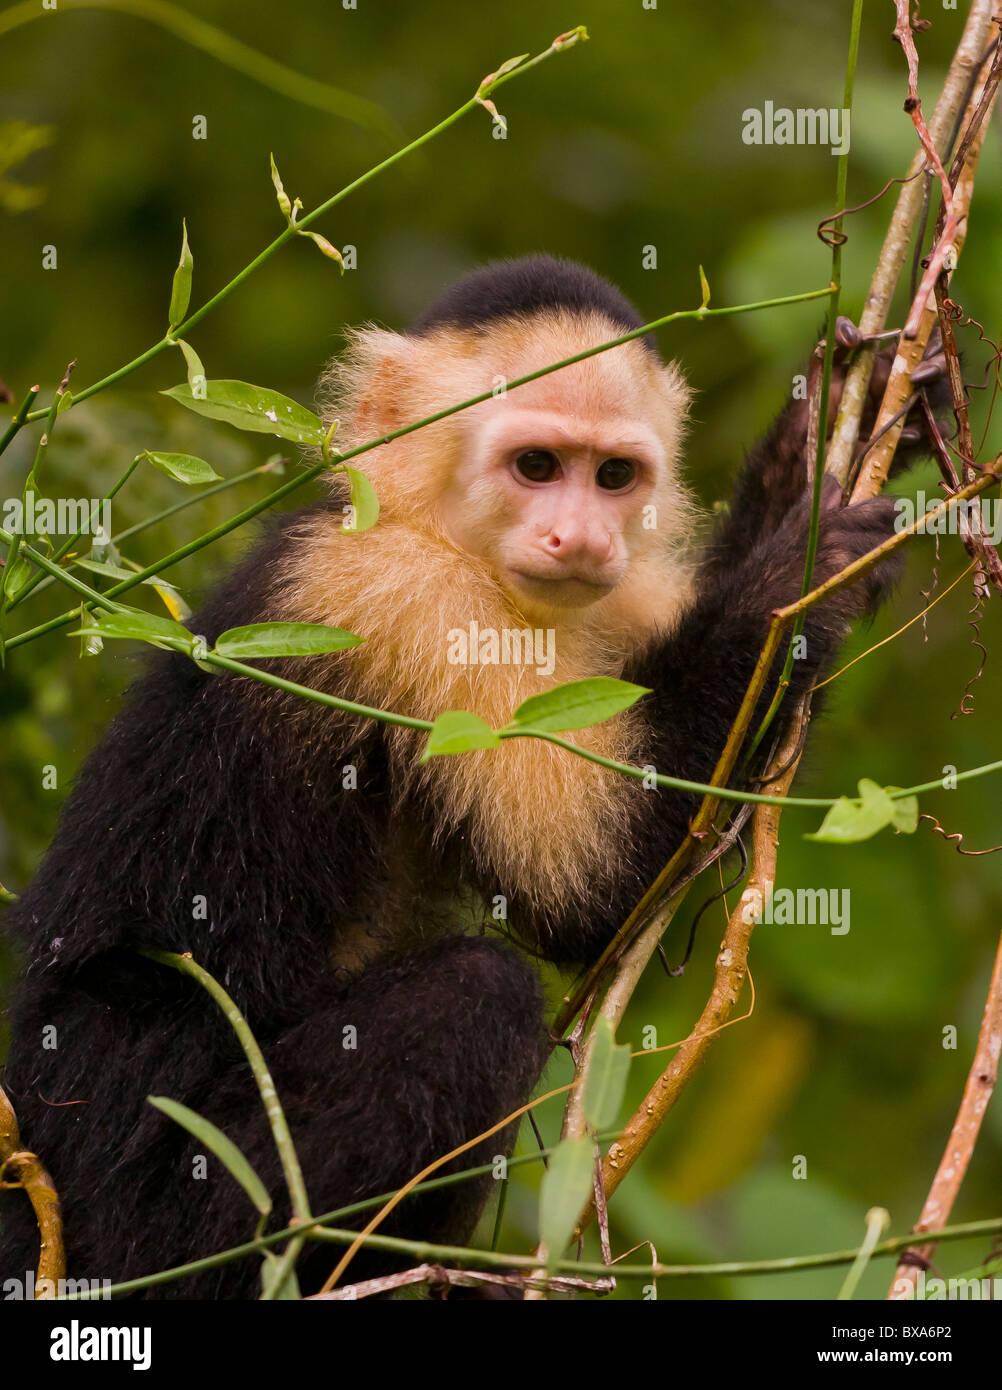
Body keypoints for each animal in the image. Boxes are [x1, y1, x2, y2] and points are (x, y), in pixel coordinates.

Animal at [0, 258, 939, 1289]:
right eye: (536, 467)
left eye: (615, 477)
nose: (583, 538)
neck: (431, 529)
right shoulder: (415, 601)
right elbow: (593, 888)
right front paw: (801, 580)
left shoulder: (612, 596)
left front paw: (824, 430)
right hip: (140, 1197)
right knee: (474, 997)